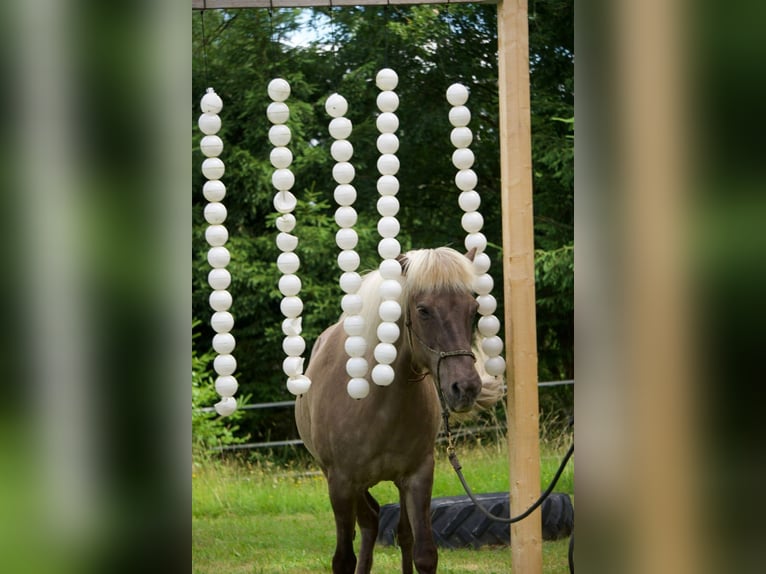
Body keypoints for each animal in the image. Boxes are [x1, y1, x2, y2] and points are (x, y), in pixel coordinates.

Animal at [295, 247, 502, 574]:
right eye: (423, 310)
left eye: (472, 309)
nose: (466, 387)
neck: (374, 401)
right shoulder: (340, 483)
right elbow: (343, 559)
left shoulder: (418, 476)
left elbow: (424, 553)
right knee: (369, 522)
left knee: (397, 531)